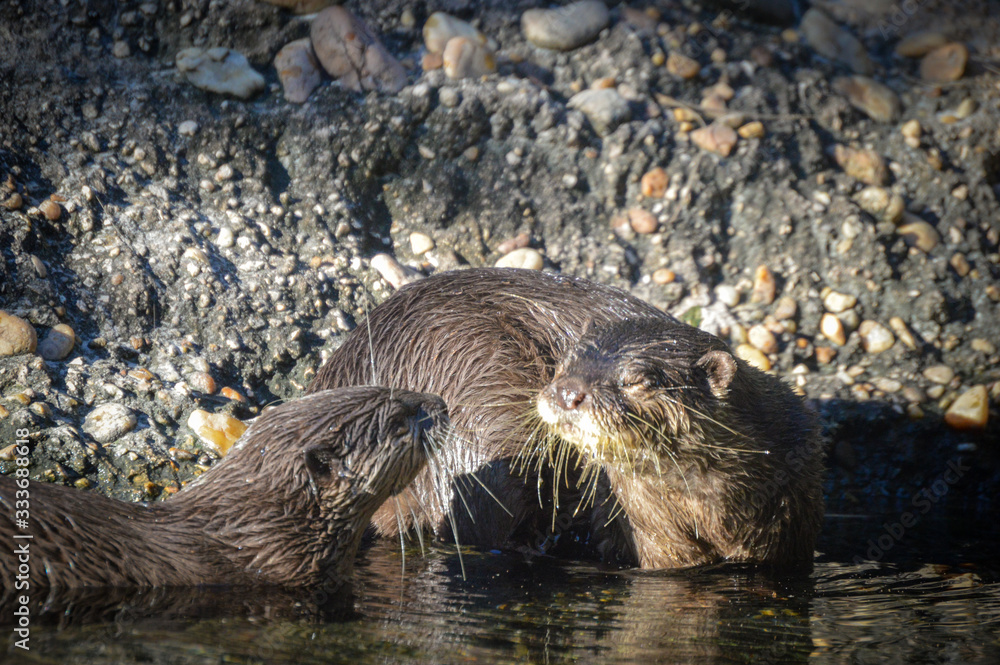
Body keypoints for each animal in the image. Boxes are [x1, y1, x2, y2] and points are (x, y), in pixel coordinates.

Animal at [309, 268, 824, 569]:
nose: (567, 390)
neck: (713, 505)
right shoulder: (650, 531)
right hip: (479, 387)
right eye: (568, 359)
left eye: (639, 380)